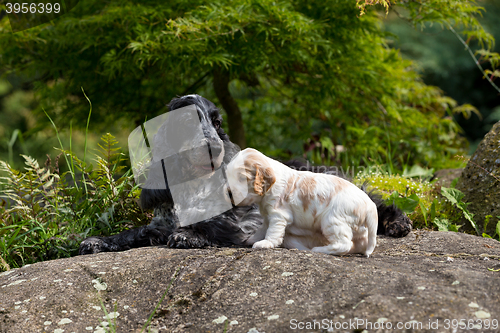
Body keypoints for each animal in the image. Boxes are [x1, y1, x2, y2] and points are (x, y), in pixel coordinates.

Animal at [225, 148, 376, 256]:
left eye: (241, 178)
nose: (228, 193)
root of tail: (370, 205)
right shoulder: (268, 215)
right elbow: (262, 229)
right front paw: (252, 239)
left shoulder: (278, 215)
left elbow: (272, 231)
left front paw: (266, 243)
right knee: (359, 244)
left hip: (333, 221)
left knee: (344, 244)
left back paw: (320, 249)